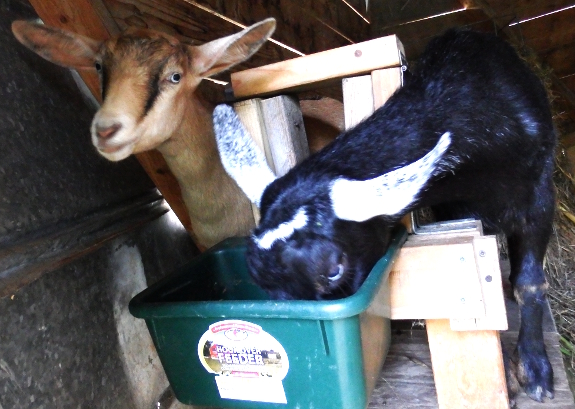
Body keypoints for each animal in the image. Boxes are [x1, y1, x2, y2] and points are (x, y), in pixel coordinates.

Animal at [215, 29, 560, 402]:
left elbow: (530, 283)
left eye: (334, 269)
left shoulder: (539, 192)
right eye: (262, 282)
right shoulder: (455, 206)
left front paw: (535, 368)